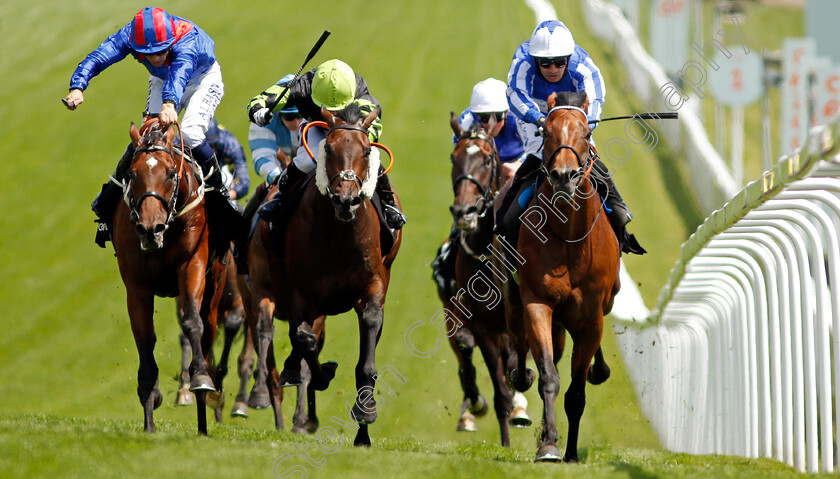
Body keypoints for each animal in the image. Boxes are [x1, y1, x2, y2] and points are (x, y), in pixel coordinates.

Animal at [113, 117, 230, 436]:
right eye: (131, 173)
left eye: (168, 173)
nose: (149, 229)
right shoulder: (136, 284)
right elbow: (144, 336)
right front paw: (149, 408)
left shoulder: (192, 265)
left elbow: (192, 322)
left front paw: (200, 379)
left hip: (215, 290)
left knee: (207, 331)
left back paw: (203, 417)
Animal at [248, 104, 402, 446]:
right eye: (329, 148)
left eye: (367, 150)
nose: (346, 200)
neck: (339, 234)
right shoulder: (303, 294)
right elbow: (305, 341)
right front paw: (319, 374)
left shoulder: (374, 286)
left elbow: (368, 346)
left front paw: (366, 413)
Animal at [434, 113, 532, 446]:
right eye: (453, 157)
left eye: (488, 160)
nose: (465, 210)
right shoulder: (482, 324)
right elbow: (498, 389)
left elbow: (515, 369)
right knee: (464, 352)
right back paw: (471, 409)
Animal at [496, 92, 620, 464]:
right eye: (546, 131)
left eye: (586, 132)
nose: (564, 175)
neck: (569, 237)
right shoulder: (538, 302)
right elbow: (549, 378)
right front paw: (549, 445)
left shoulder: (591, 317)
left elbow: (576, 393)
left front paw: (572, 453)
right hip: (513, 297)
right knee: (521, 345)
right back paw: (520, 374)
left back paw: (598, 368)